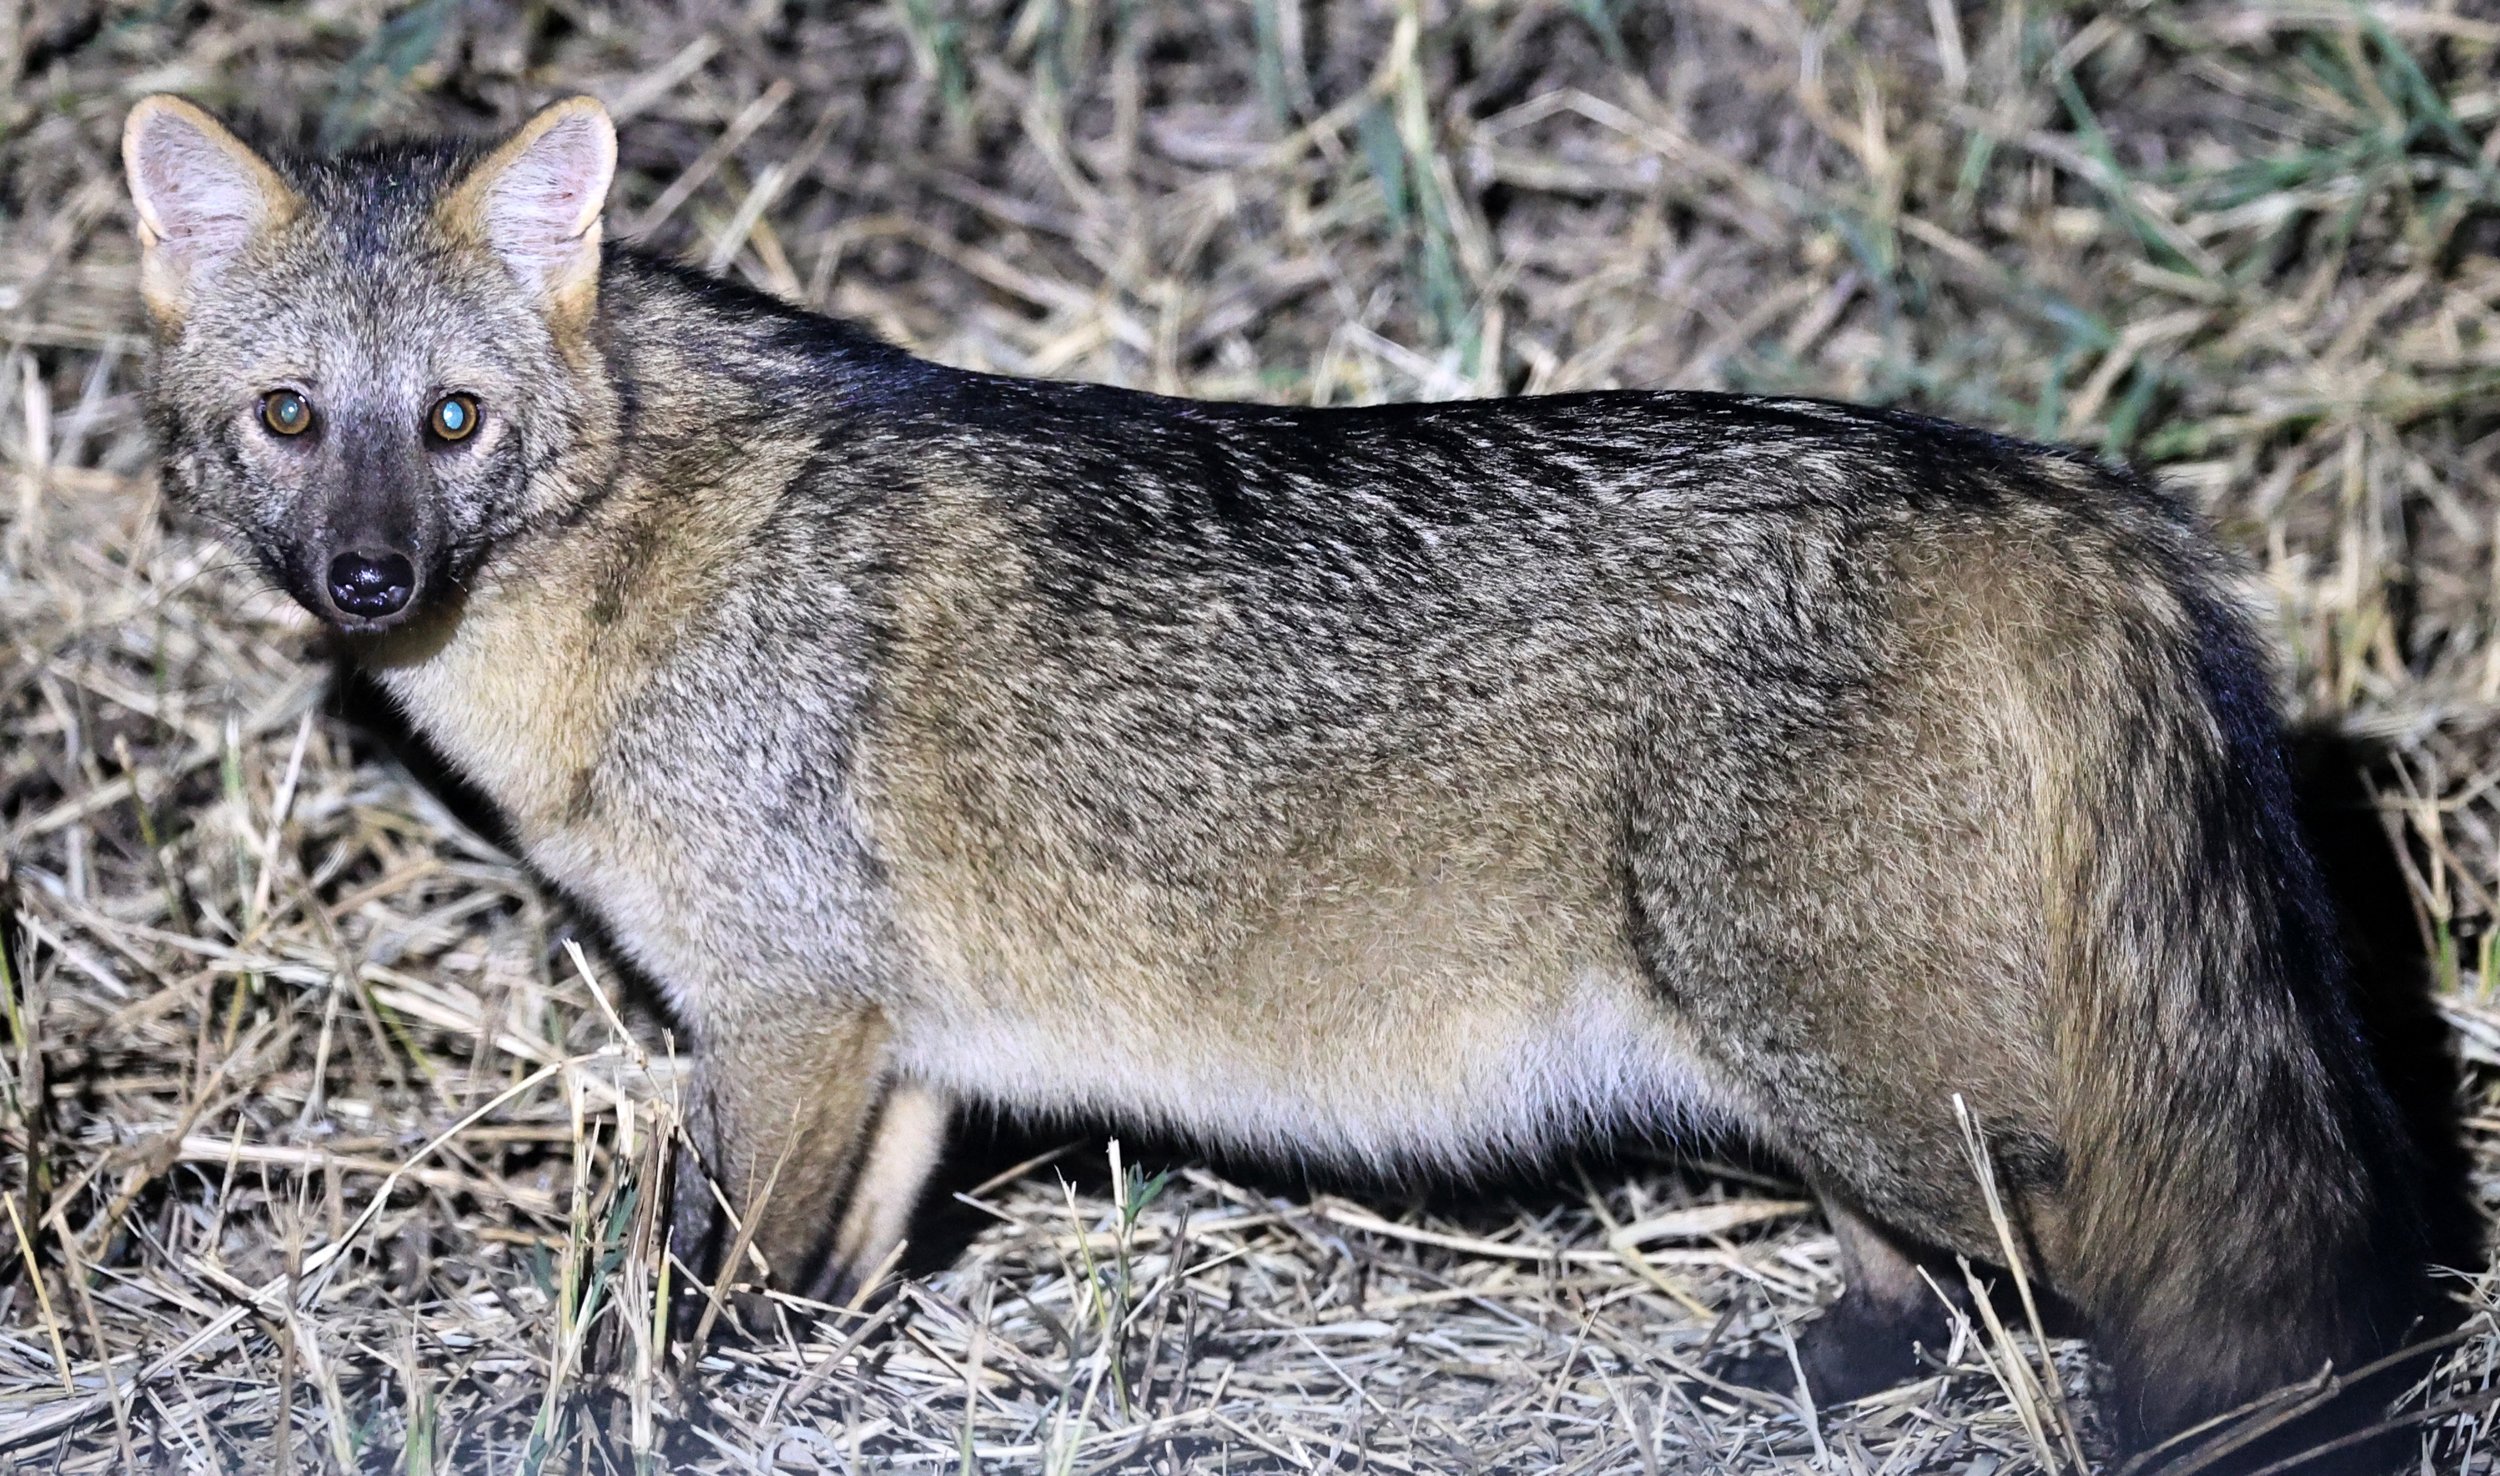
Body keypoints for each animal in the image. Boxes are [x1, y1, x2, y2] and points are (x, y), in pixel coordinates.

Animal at [122, 93, 2442, 1469]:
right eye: (287, 417)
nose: (362, 578)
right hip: (1818, 1072)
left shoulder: (780, 1018)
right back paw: (1810, 1370)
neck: (637, 574)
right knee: (1922, 1280)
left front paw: (629, 1408)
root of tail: (2045, 484)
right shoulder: (891, 1049)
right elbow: (829, 1268)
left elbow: (683, 1282)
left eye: (446, 422)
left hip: (1890, 1080)